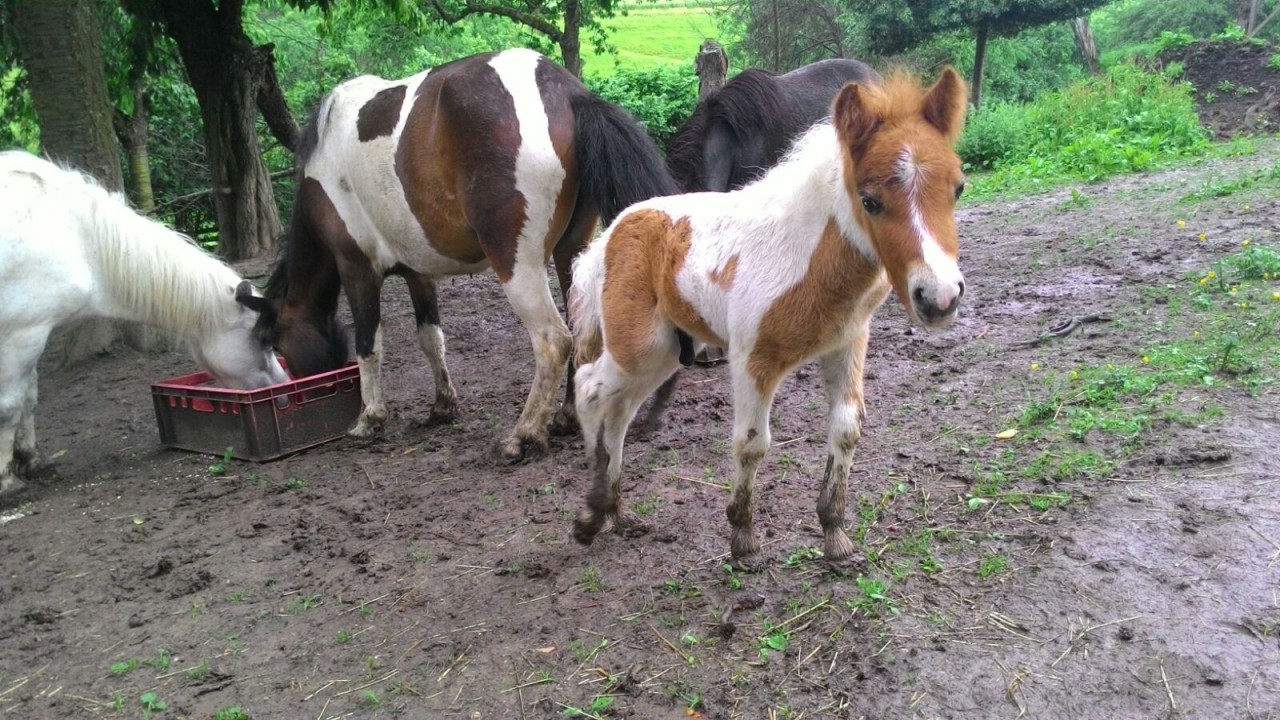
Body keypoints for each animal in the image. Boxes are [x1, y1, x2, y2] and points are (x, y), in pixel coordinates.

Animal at [0, 148, 289, 497]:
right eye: (262, 340)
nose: (283, 390)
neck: (77, 235)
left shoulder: (31, 336)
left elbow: (28, 399)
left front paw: (31, 460)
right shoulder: (21, 335)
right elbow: (9, 406)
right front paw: (6, 481)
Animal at [239, 47, 680, 458]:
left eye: (278, 345)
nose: (305, 396)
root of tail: (565, 92)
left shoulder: (356, 268)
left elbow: (369, 344)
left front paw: (369, 418)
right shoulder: (417, 272)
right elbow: (430, 338)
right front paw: (442, 406)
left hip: (516, 264)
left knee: (554, 340)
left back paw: (524, 434)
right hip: (572, 250)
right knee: (581, 334)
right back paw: (566, 418)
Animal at [570, 67, 967, 561]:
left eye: (958, 188)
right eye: (870, 200)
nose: (939, 297)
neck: (806, 257)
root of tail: (611, 234)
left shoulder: (847, 344)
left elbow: (846, 429)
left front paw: (834, 534)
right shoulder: (752, 360)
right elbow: (752, 443)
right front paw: (742, 537)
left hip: (660, 353)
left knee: (620, 411)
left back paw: (617, 513)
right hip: (636, 345)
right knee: (589, 390)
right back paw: (591, 514)